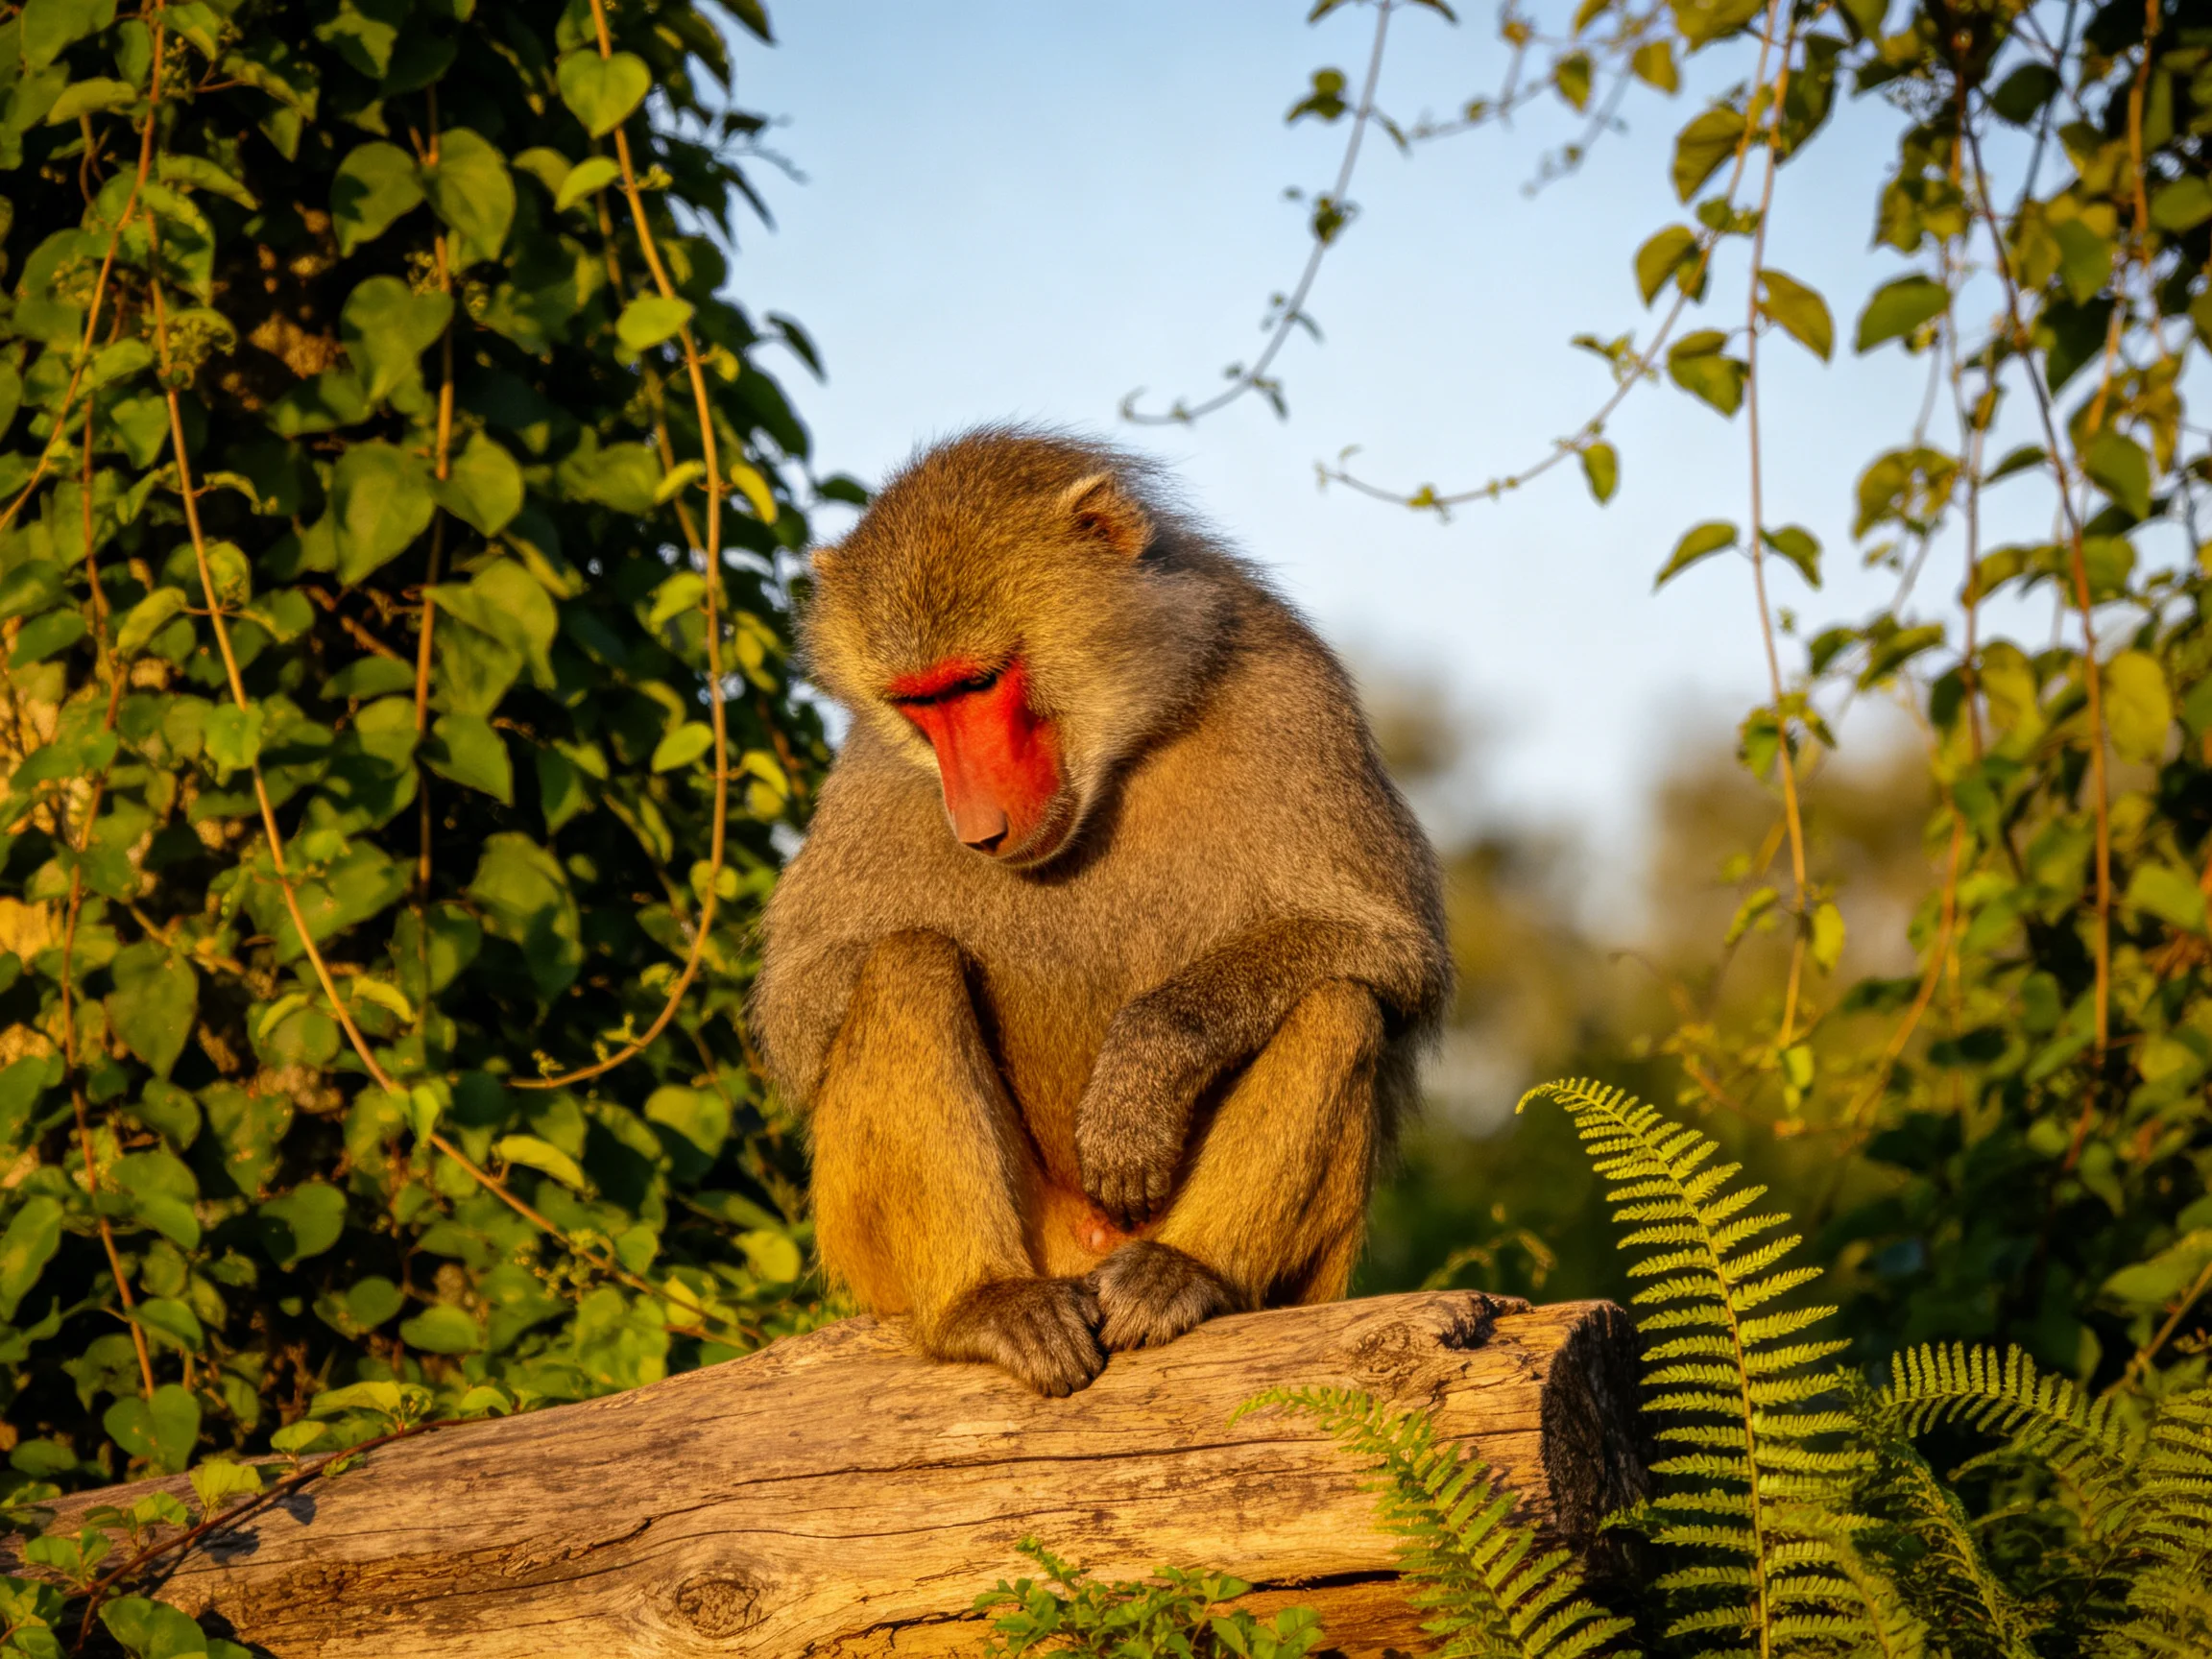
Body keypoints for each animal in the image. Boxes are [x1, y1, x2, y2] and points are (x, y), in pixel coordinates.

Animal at [749, 427, 1450, 1396]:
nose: (978, 828)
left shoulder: (1292, 697)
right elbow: (798, 1010)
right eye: (917, 703)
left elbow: (1392, 947)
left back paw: (1185, 1273)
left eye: (978, 683)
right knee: (909, 962)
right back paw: (985, 1303)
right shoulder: (871, 774)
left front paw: (1142, 1070)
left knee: (1338, 1002)